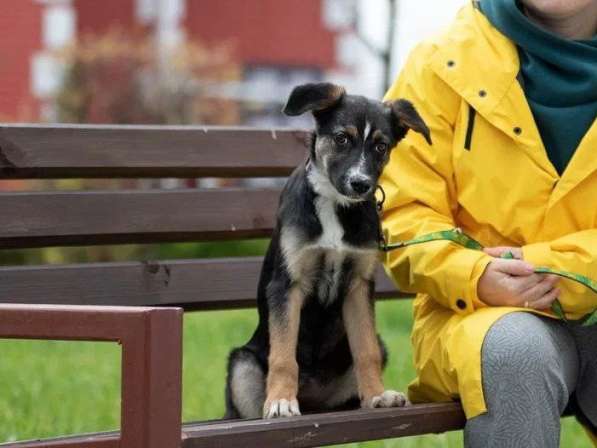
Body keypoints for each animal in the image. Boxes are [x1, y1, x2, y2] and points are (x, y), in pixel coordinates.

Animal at [224, 81, 428, 420]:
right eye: (341, 138)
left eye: (381, 147)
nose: (360, 184)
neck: (334, 204)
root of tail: (312, 403)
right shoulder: (287, 284)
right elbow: (283, 355)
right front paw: (281, 400)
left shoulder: (358, 285)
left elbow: (366, 350)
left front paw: (377, 395)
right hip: (242, 364)